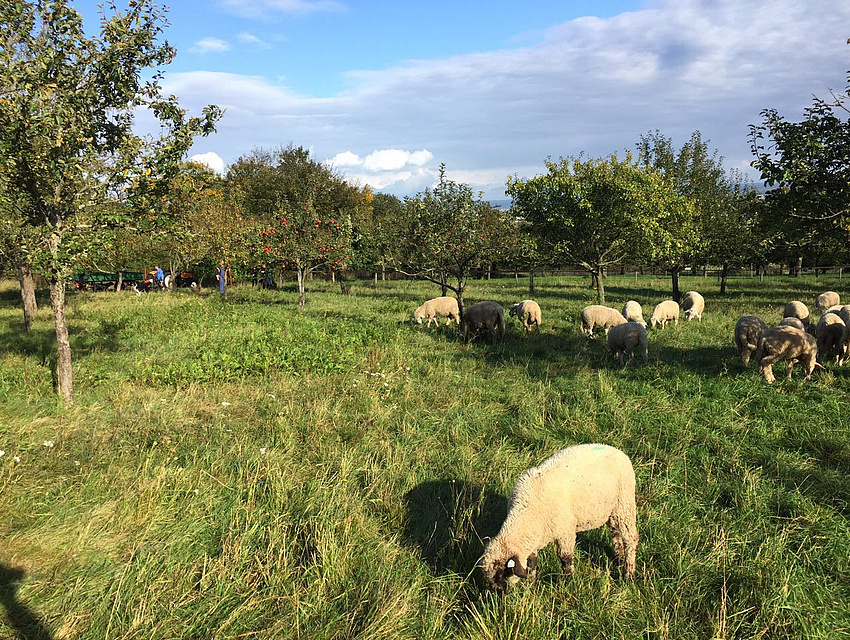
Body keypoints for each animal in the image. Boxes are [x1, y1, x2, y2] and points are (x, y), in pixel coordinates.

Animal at [476, 442, 636, 592]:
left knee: (631, 539)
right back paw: (619, 559)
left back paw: (629, 574)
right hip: (612, 512)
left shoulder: (565, 531)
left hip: (625, 504)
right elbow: (532, 561)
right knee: (616, 533)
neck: (528, 512)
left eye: (503, 574)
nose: (498, 594)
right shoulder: (536, 537)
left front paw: (568, 581)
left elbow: (565, 559)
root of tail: (616, 450)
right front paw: (532, 582)